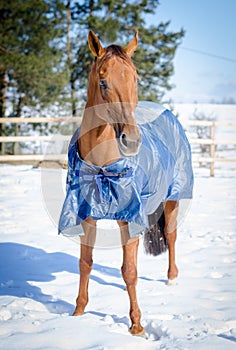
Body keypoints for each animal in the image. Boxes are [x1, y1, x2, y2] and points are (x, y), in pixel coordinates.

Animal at [59, 30, 194, 336]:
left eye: (135, 79)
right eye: (103, 81)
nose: (131, 141)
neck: (102, 166)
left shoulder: (129, 218)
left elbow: (129, 271)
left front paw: (136, 325)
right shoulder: (86, 215)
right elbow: (85, 263)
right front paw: (78, 313)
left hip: (173, 198)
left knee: (170, 236)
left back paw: (171, 278)